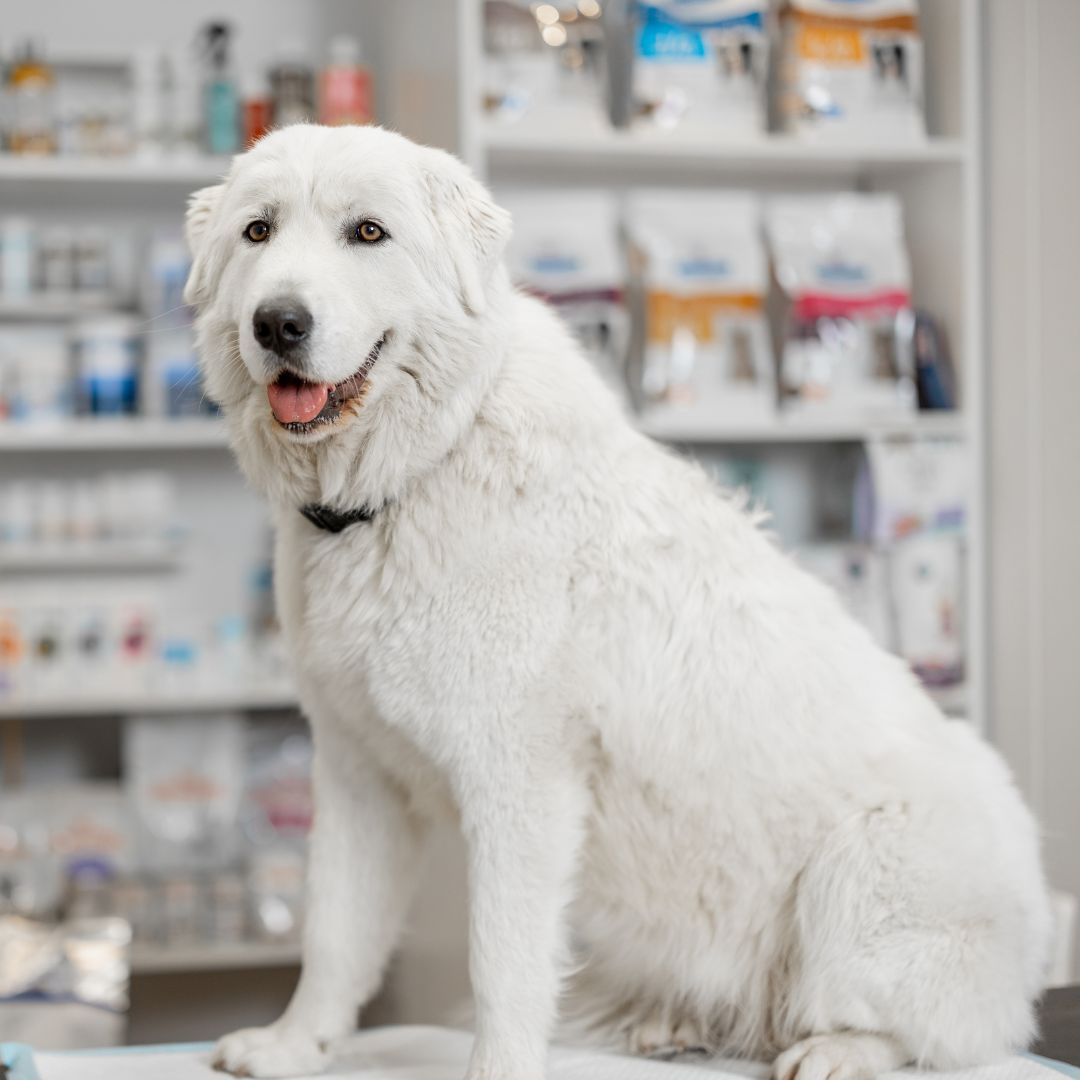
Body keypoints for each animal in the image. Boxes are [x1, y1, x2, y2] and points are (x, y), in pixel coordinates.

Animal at [187, 124, 1054, 1080]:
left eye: (367, 233)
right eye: (258, 232)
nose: (279, 323)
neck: (418, 472)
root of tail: (1044, 917)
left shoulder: (519, 785)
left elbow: (501, 964)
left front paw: (496, 1070)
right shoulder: (356, 775)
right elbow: (335, 933)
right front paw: (293, 1044)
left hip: (861, 870)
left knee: (941, 1035)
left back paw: (836, 1050)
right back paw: (672, 1025)